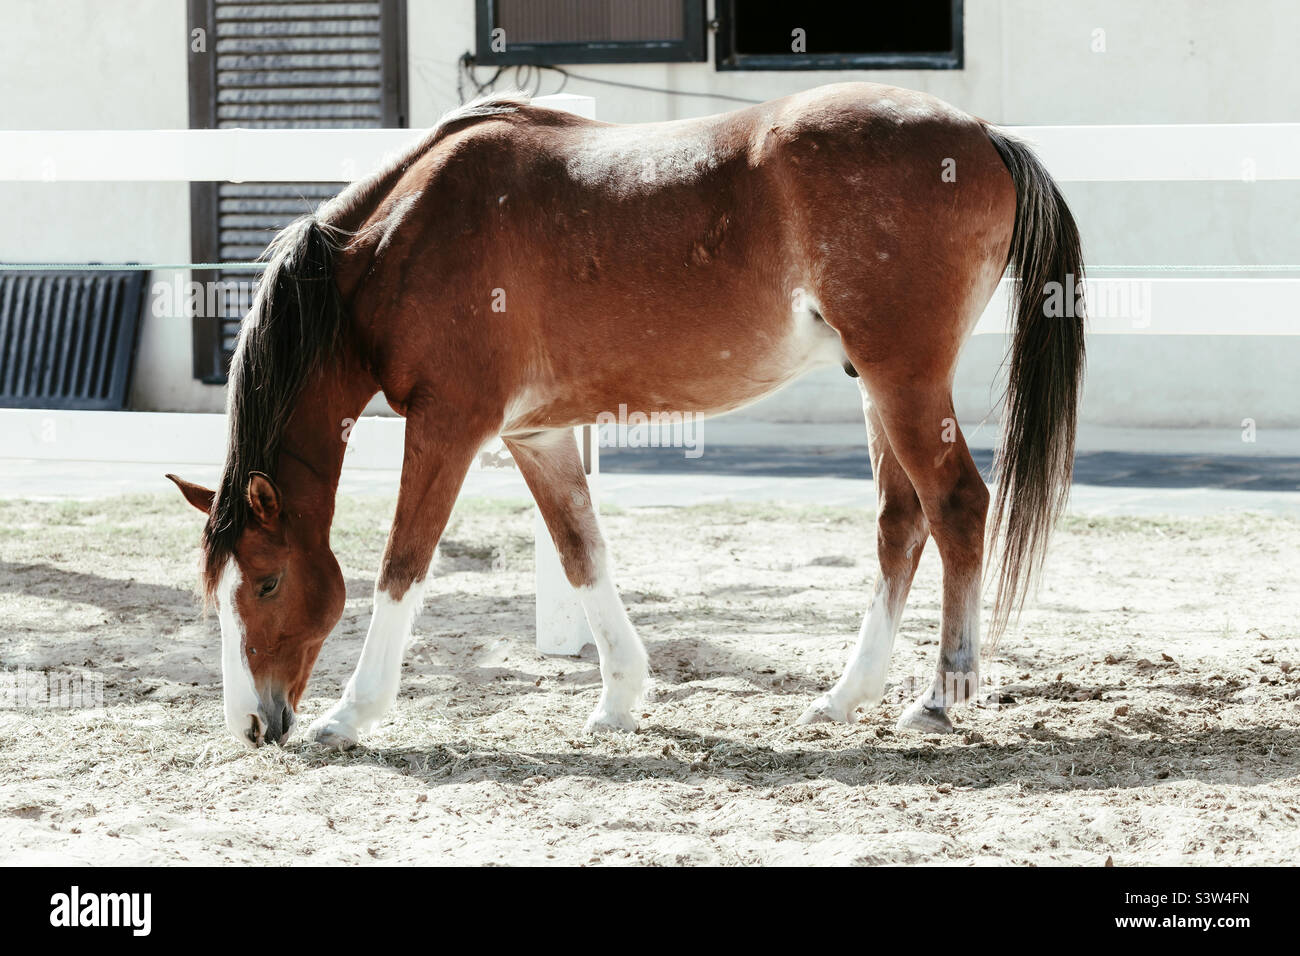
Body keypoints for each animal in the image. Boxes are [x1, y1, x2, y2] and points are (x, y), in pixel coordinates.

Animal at [162, 82, 1081, 749]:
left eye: (268, 581)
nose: (253, 725)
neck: (400, 237)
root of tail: (980, 137)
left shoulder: (448, 427)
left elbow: (402, 565)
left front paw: (352, 714)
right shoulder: (536, 435)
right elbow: (582, 555)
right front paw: (619, 701)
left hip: (904, 382)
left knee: (956, 507)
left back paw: (940, 696)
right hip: (877, 387)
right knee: (901, 523)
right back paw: (844, 697)